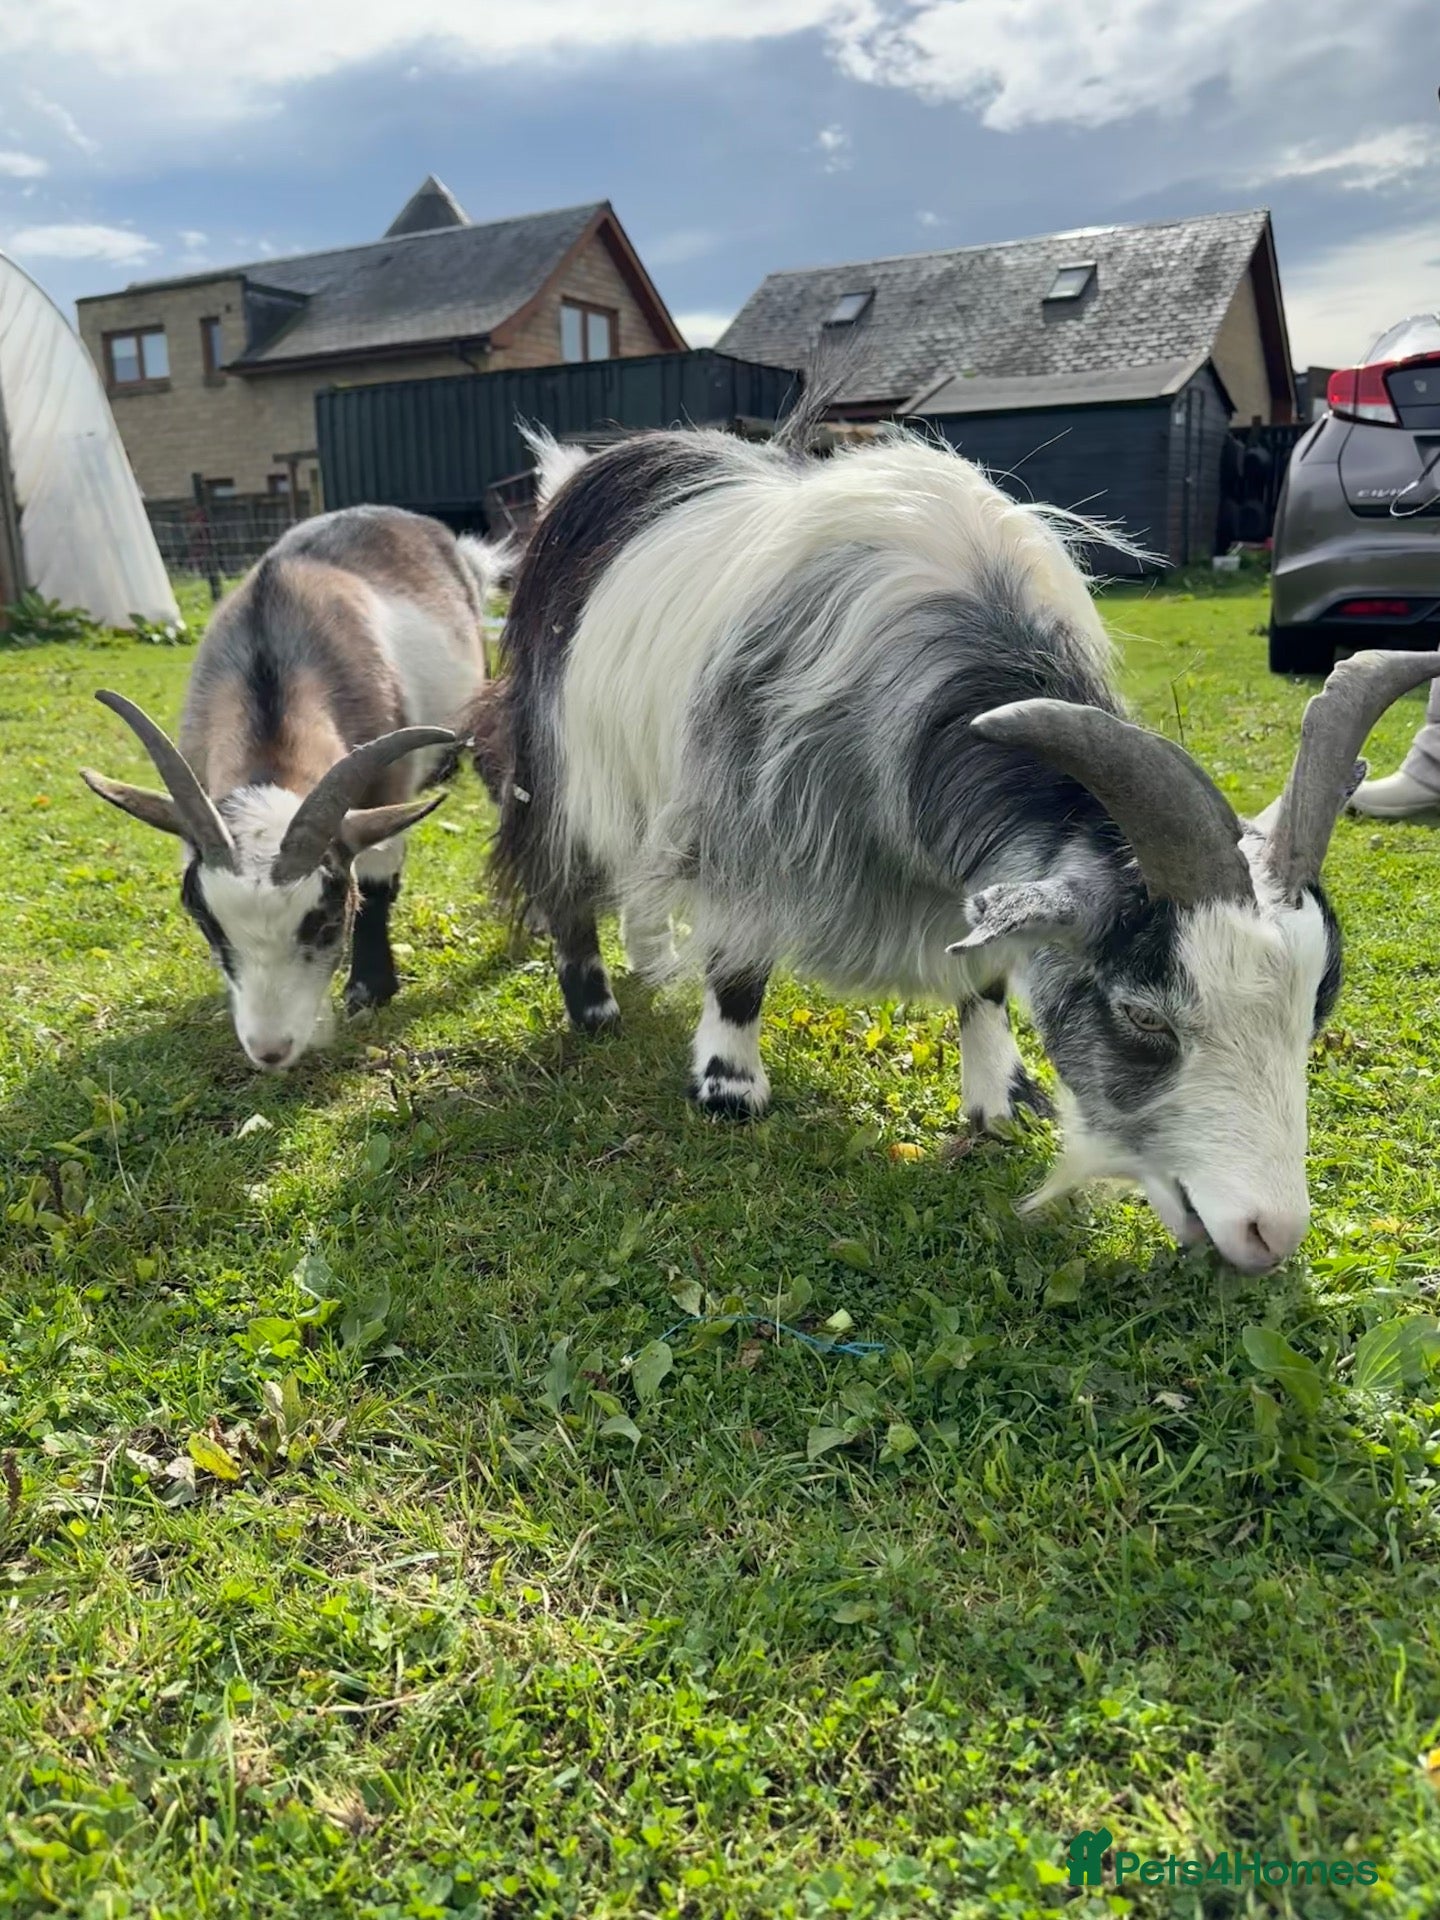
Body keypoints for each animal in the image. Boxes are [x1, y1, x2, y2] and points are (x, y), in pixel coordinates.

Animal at [83, 505, 507, 1071]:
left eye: (327, 922)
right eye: (207, 922)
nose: (271, 1051)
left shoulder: (385, 791)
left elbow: (378, 880)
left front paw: (369, 989)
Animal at [486, 425, 1440, 1274]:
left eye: (1316, 1006)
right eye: (1144, 1017)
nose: (1268, 1235)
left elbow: (981, 972)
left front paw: (1002, 1097)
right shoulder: (746, 821)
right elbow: (739, 964)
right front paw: (729, 1085)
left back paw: (650, 962)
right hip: (563, 763)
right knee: (568, 876)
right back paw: (597, 1003)